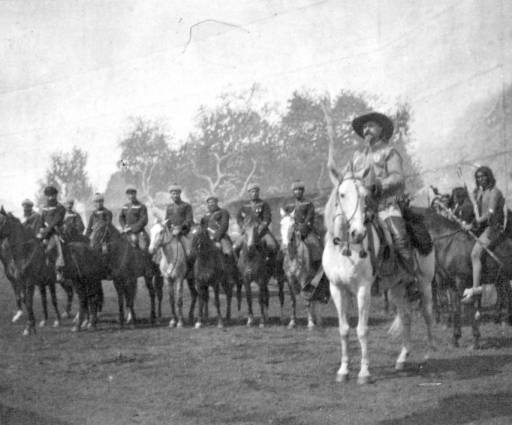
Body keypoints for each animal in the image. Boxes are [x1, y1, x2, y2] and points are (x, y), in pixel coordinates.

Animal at [322, 168, 434, 384]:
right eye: (342, 194)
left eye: (365, 196)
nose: (358, 233)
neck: (345, 250)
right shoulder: (337, 289)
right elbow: (344, 330)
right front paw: (343, 370)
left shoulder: (363, 289)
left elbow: (362, 330)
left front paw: (364, 372)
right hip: (397, 287)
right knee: (406, 317)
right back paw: (402, 359)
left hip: (425, 283)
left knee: (427, 314)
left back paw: (430, 354)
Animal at [412, 205, 512, 348]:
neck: (448, 244)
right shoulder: (452, 285)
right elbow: (457, 309)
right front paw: (460, 337)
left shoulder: (461, 282)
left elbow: (465, 308)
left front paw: (469, 338)